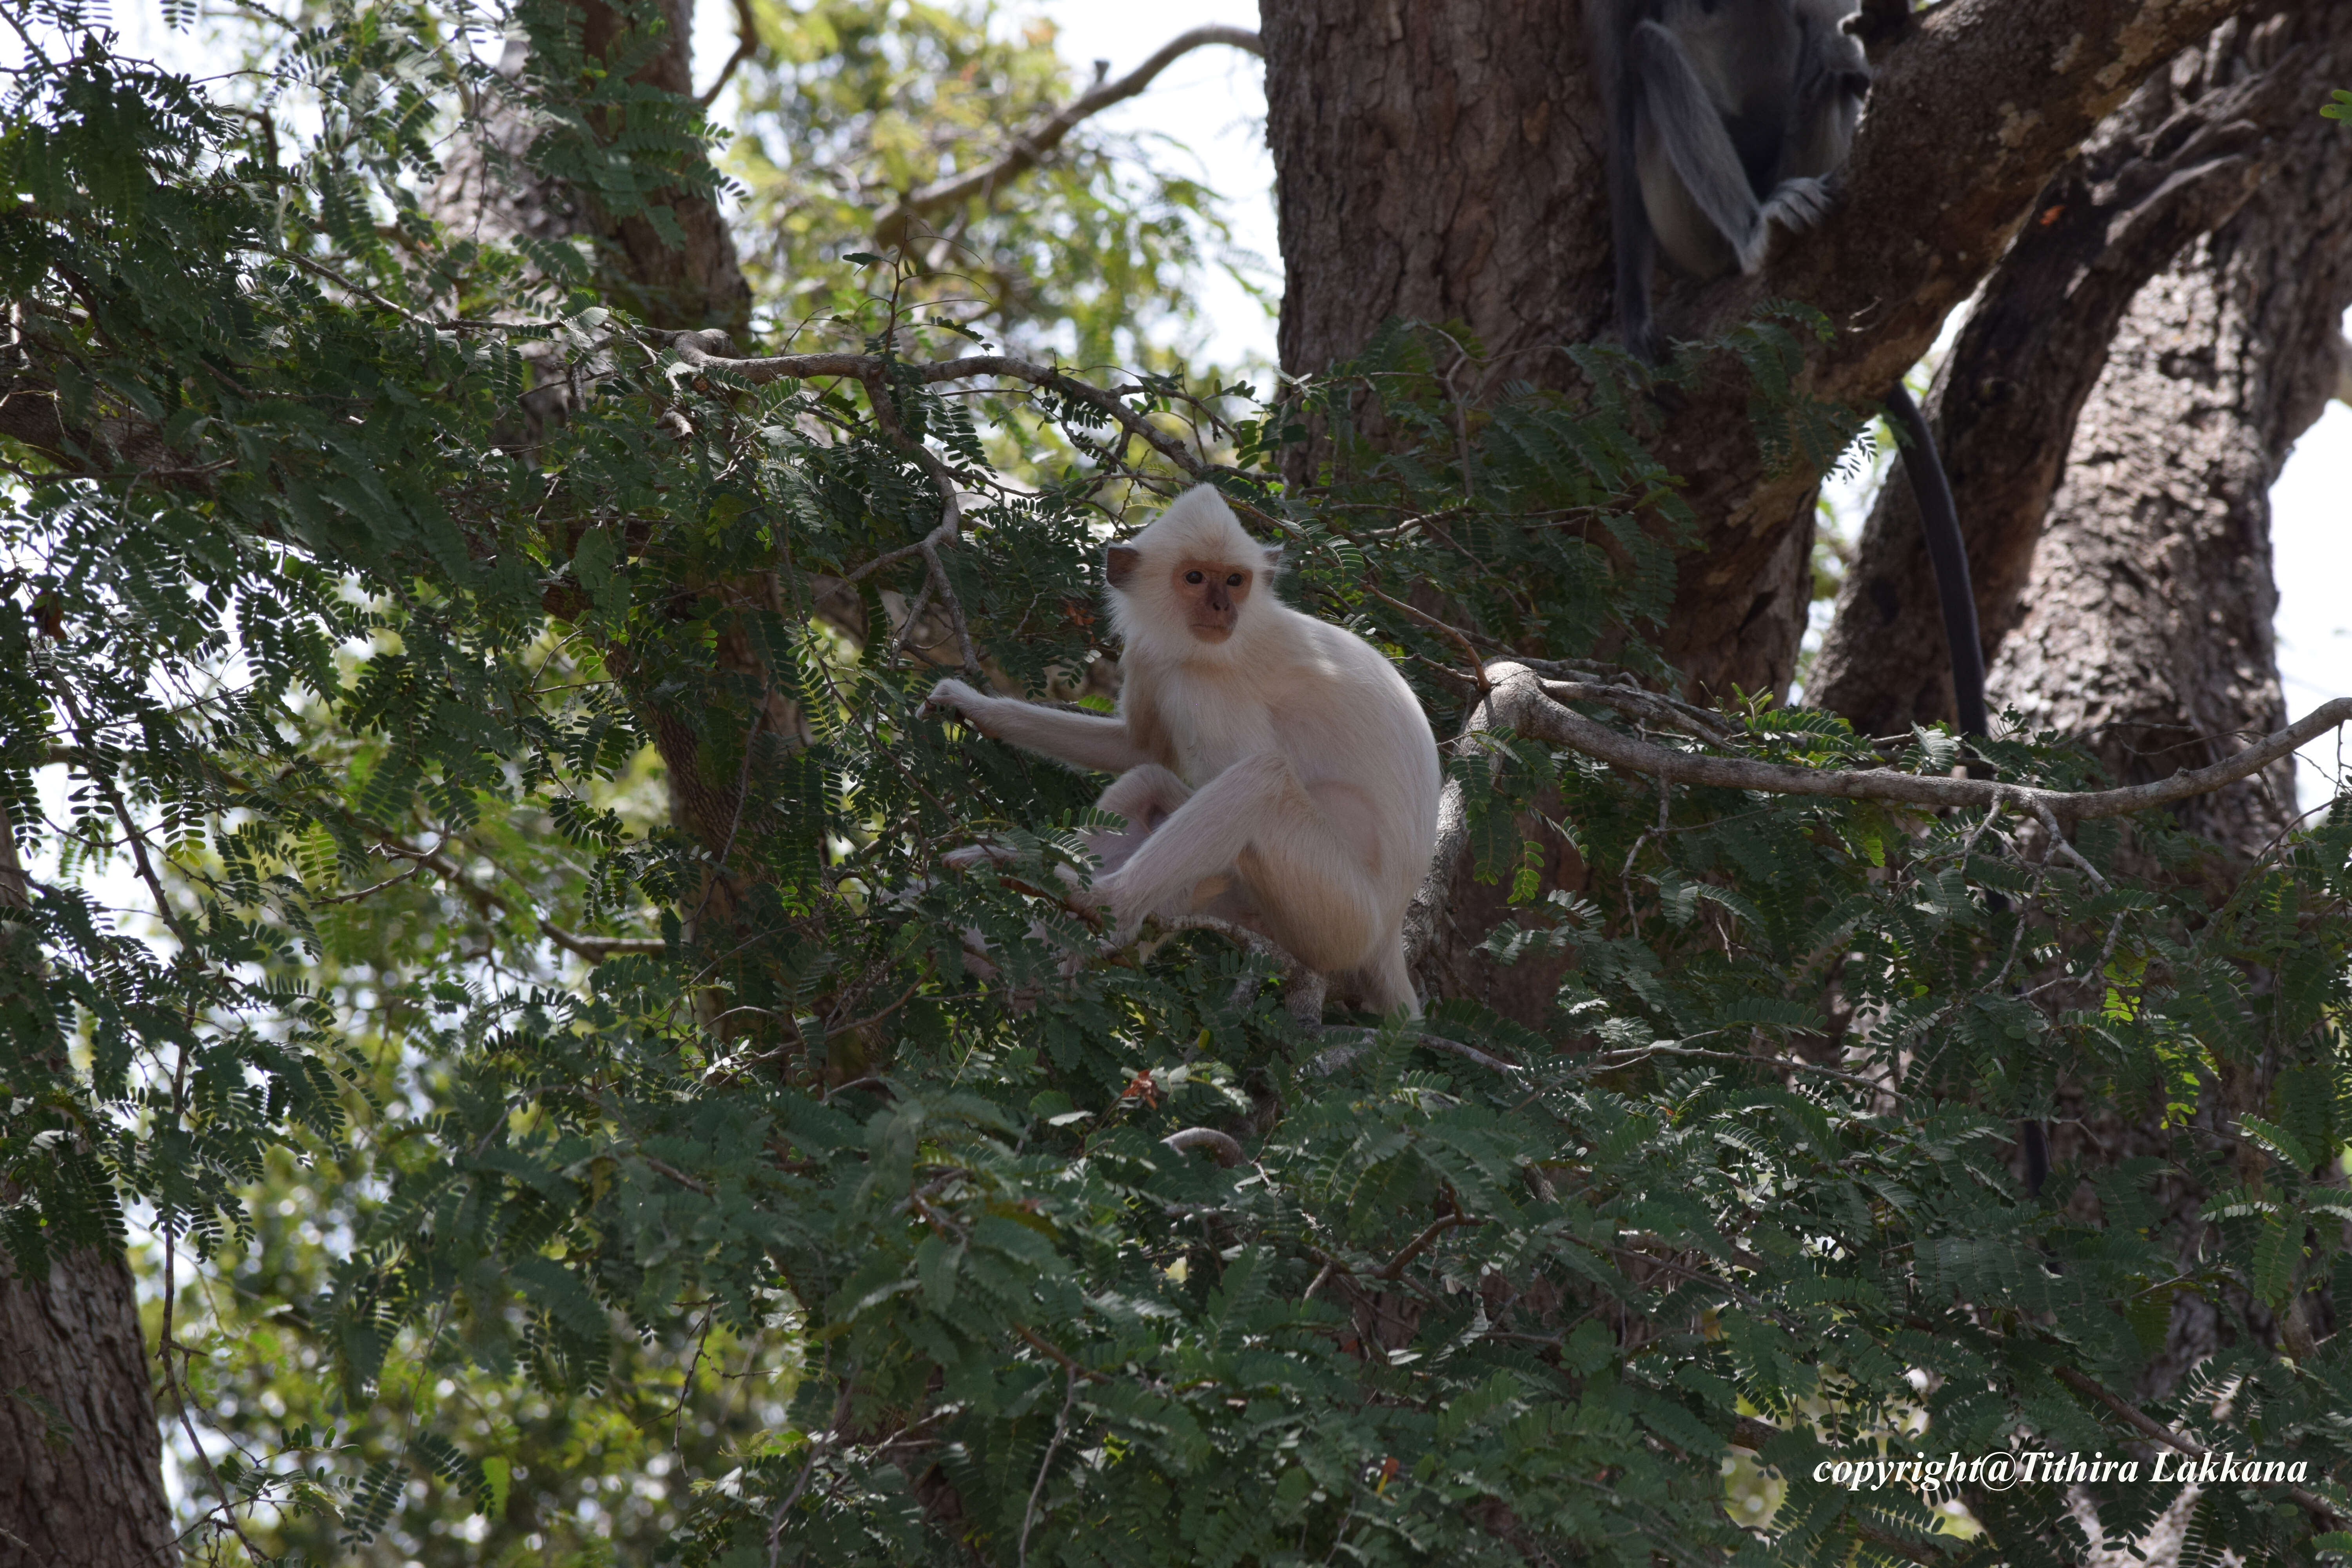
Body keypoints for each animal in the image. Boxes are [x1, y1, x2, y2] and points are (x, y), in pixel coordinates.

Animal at [1599, 0, 1985, 743]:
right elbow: (1623, 69)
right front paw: (1635, 330)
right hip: (1690, 232)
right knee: (1650, 50)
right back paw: (1759, 235)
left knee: (1828, 54)